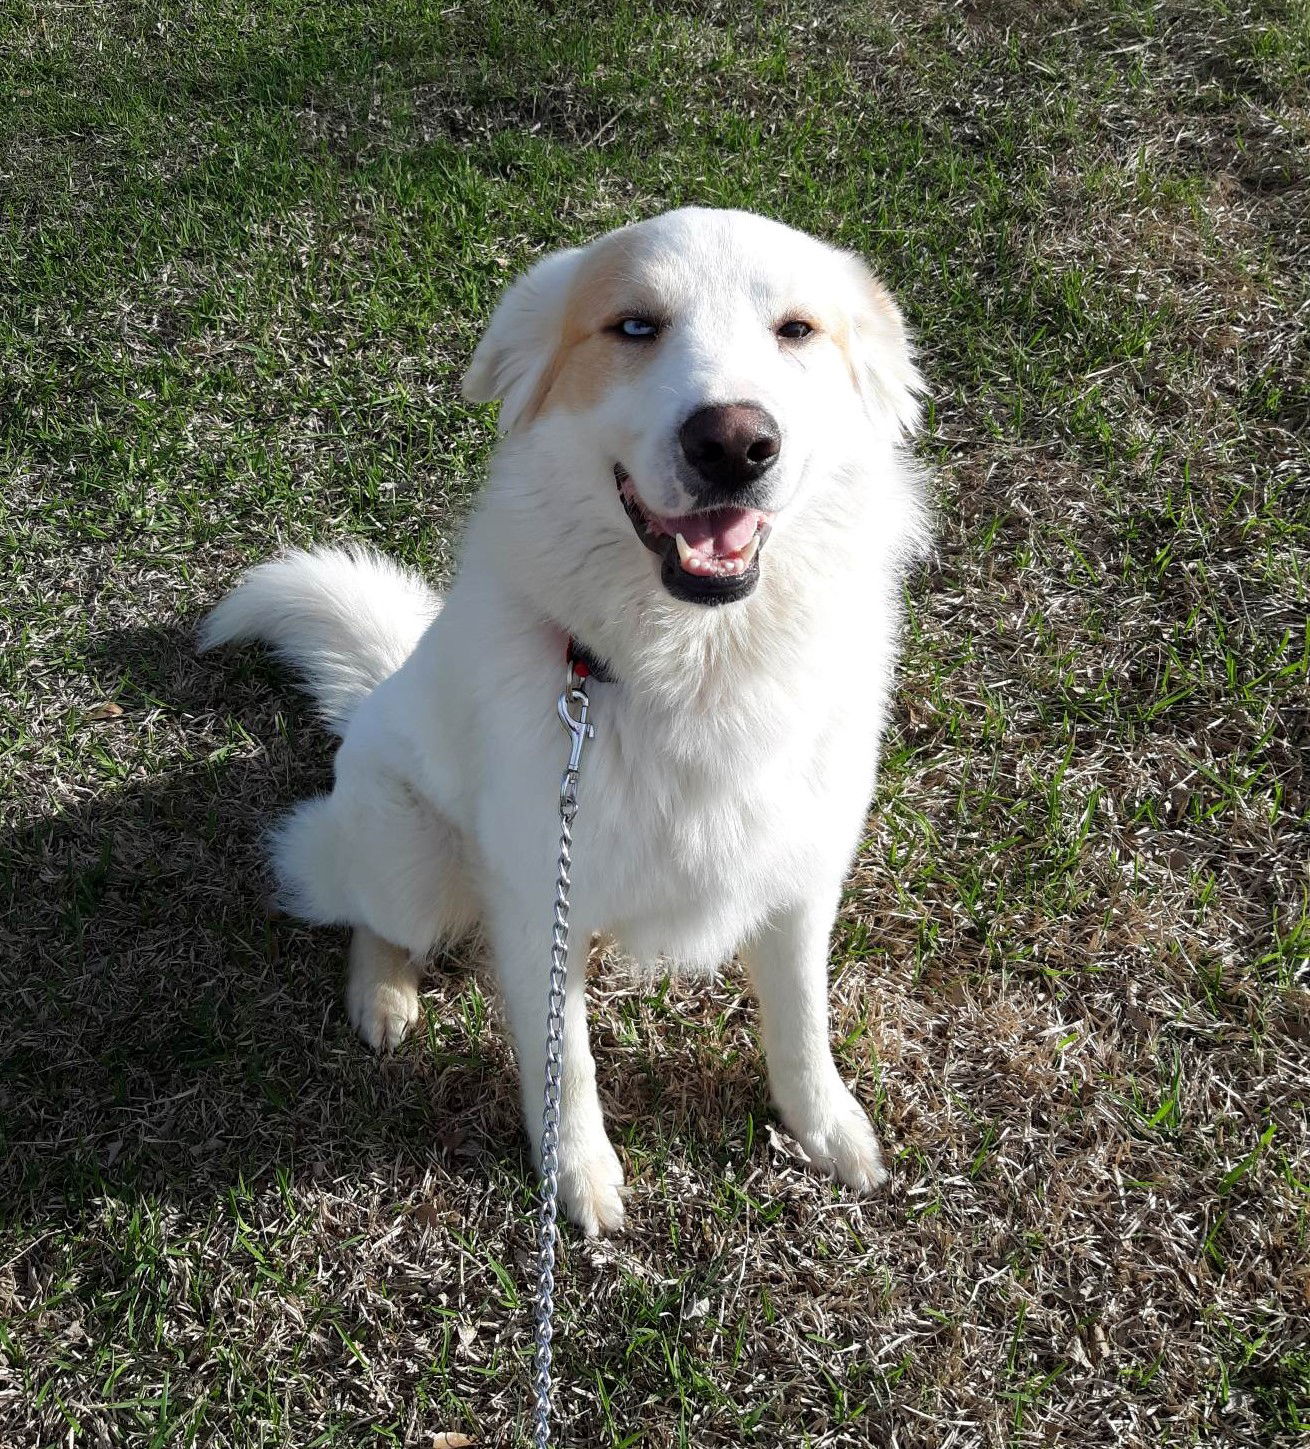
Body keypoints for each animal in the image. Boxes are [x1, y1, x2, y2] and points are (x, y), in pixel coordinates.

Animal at [199, 207, 927, 1234]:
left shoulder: (799, 876)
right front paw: (577, 1174)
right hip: (411, 857)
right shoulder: (539, 894)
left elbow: (801, 1021)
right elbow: (565, 1061)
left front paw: (824, 1126)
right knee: (353, 900)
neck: (694, 666)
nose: (733, 442)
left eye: (797, 330)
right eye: (635, 327)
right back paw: (381, 992)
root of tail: (376, 692)